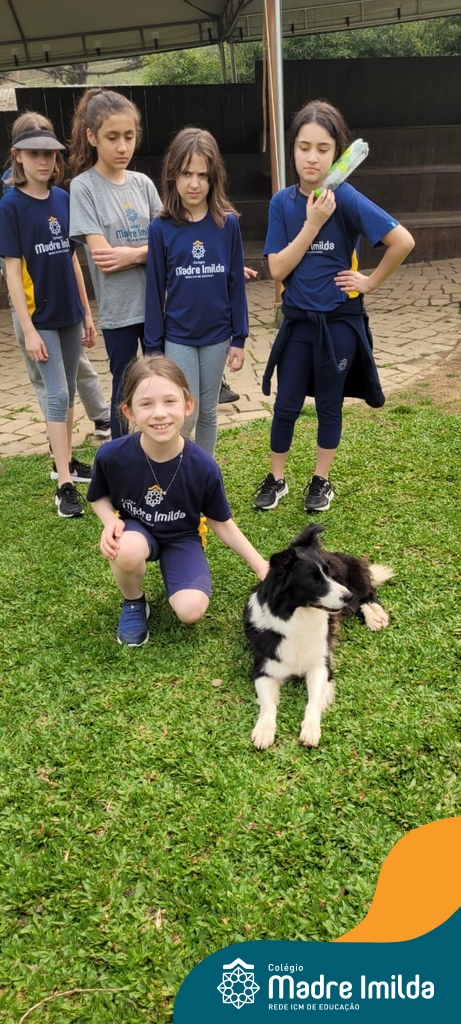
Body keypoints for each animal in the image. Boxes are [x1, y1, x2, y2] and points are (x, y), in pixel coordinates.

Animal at [244, 524, 393, 750]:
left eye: (327, 574)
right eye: (314, 581)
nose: (347, 595)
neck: (297, 618)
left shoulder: (320, 666)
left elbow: (313, 702)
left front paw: (311, 730)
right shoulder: (264, 669)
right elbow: (269, 705)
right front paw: (263, 730)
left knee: (366, 592)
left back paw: (375, 614)